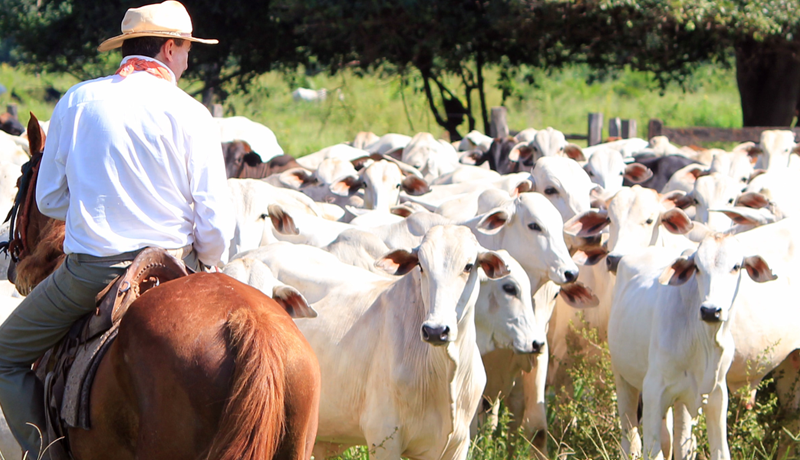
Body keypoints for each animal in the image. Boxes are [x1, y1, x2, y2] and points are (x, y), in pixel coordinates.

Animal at [608, 235, 780, 458]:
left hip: (680, 401)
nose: (711, 311)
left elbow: (719, 451)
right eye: (697, 267)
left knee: (679, 441)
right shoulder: (653, 390)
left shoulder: (717, 394)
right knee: (631, 440)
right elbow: (653, 451)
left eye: (736, 266)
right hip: (622, 378)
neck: (705, 342)